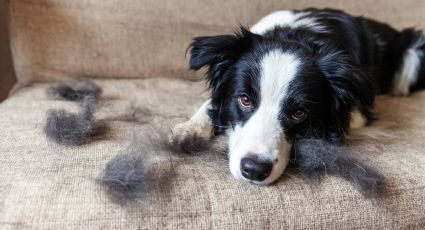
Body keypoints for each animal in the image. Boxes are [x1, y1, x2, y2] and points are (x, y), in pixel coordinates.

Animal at [171, 8, 422, 185]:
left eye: (299, 113)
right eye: (245, 100)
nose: (254, 170)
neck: (297, 36)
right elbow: (210, 105)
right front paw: (190, 129)